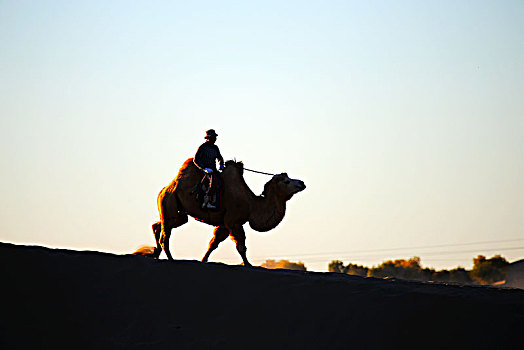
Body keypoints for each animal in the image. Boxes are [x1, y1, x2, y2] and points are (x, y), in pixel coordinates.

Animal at [139, 157, 308, 266]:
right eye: (286, 181)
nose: (302, 183)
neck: (252, 204)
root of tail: (165, 189)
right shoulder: (234, 222)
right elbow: (241, 246)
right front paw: (247, 264)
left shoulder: (225, 224)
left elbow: (213, 243)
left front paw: (203, 260)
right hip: (169, 202)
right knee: (165, 234)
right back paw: (170, 259)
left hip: (177, 212)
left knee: (158, 225)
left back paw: (156, 254)